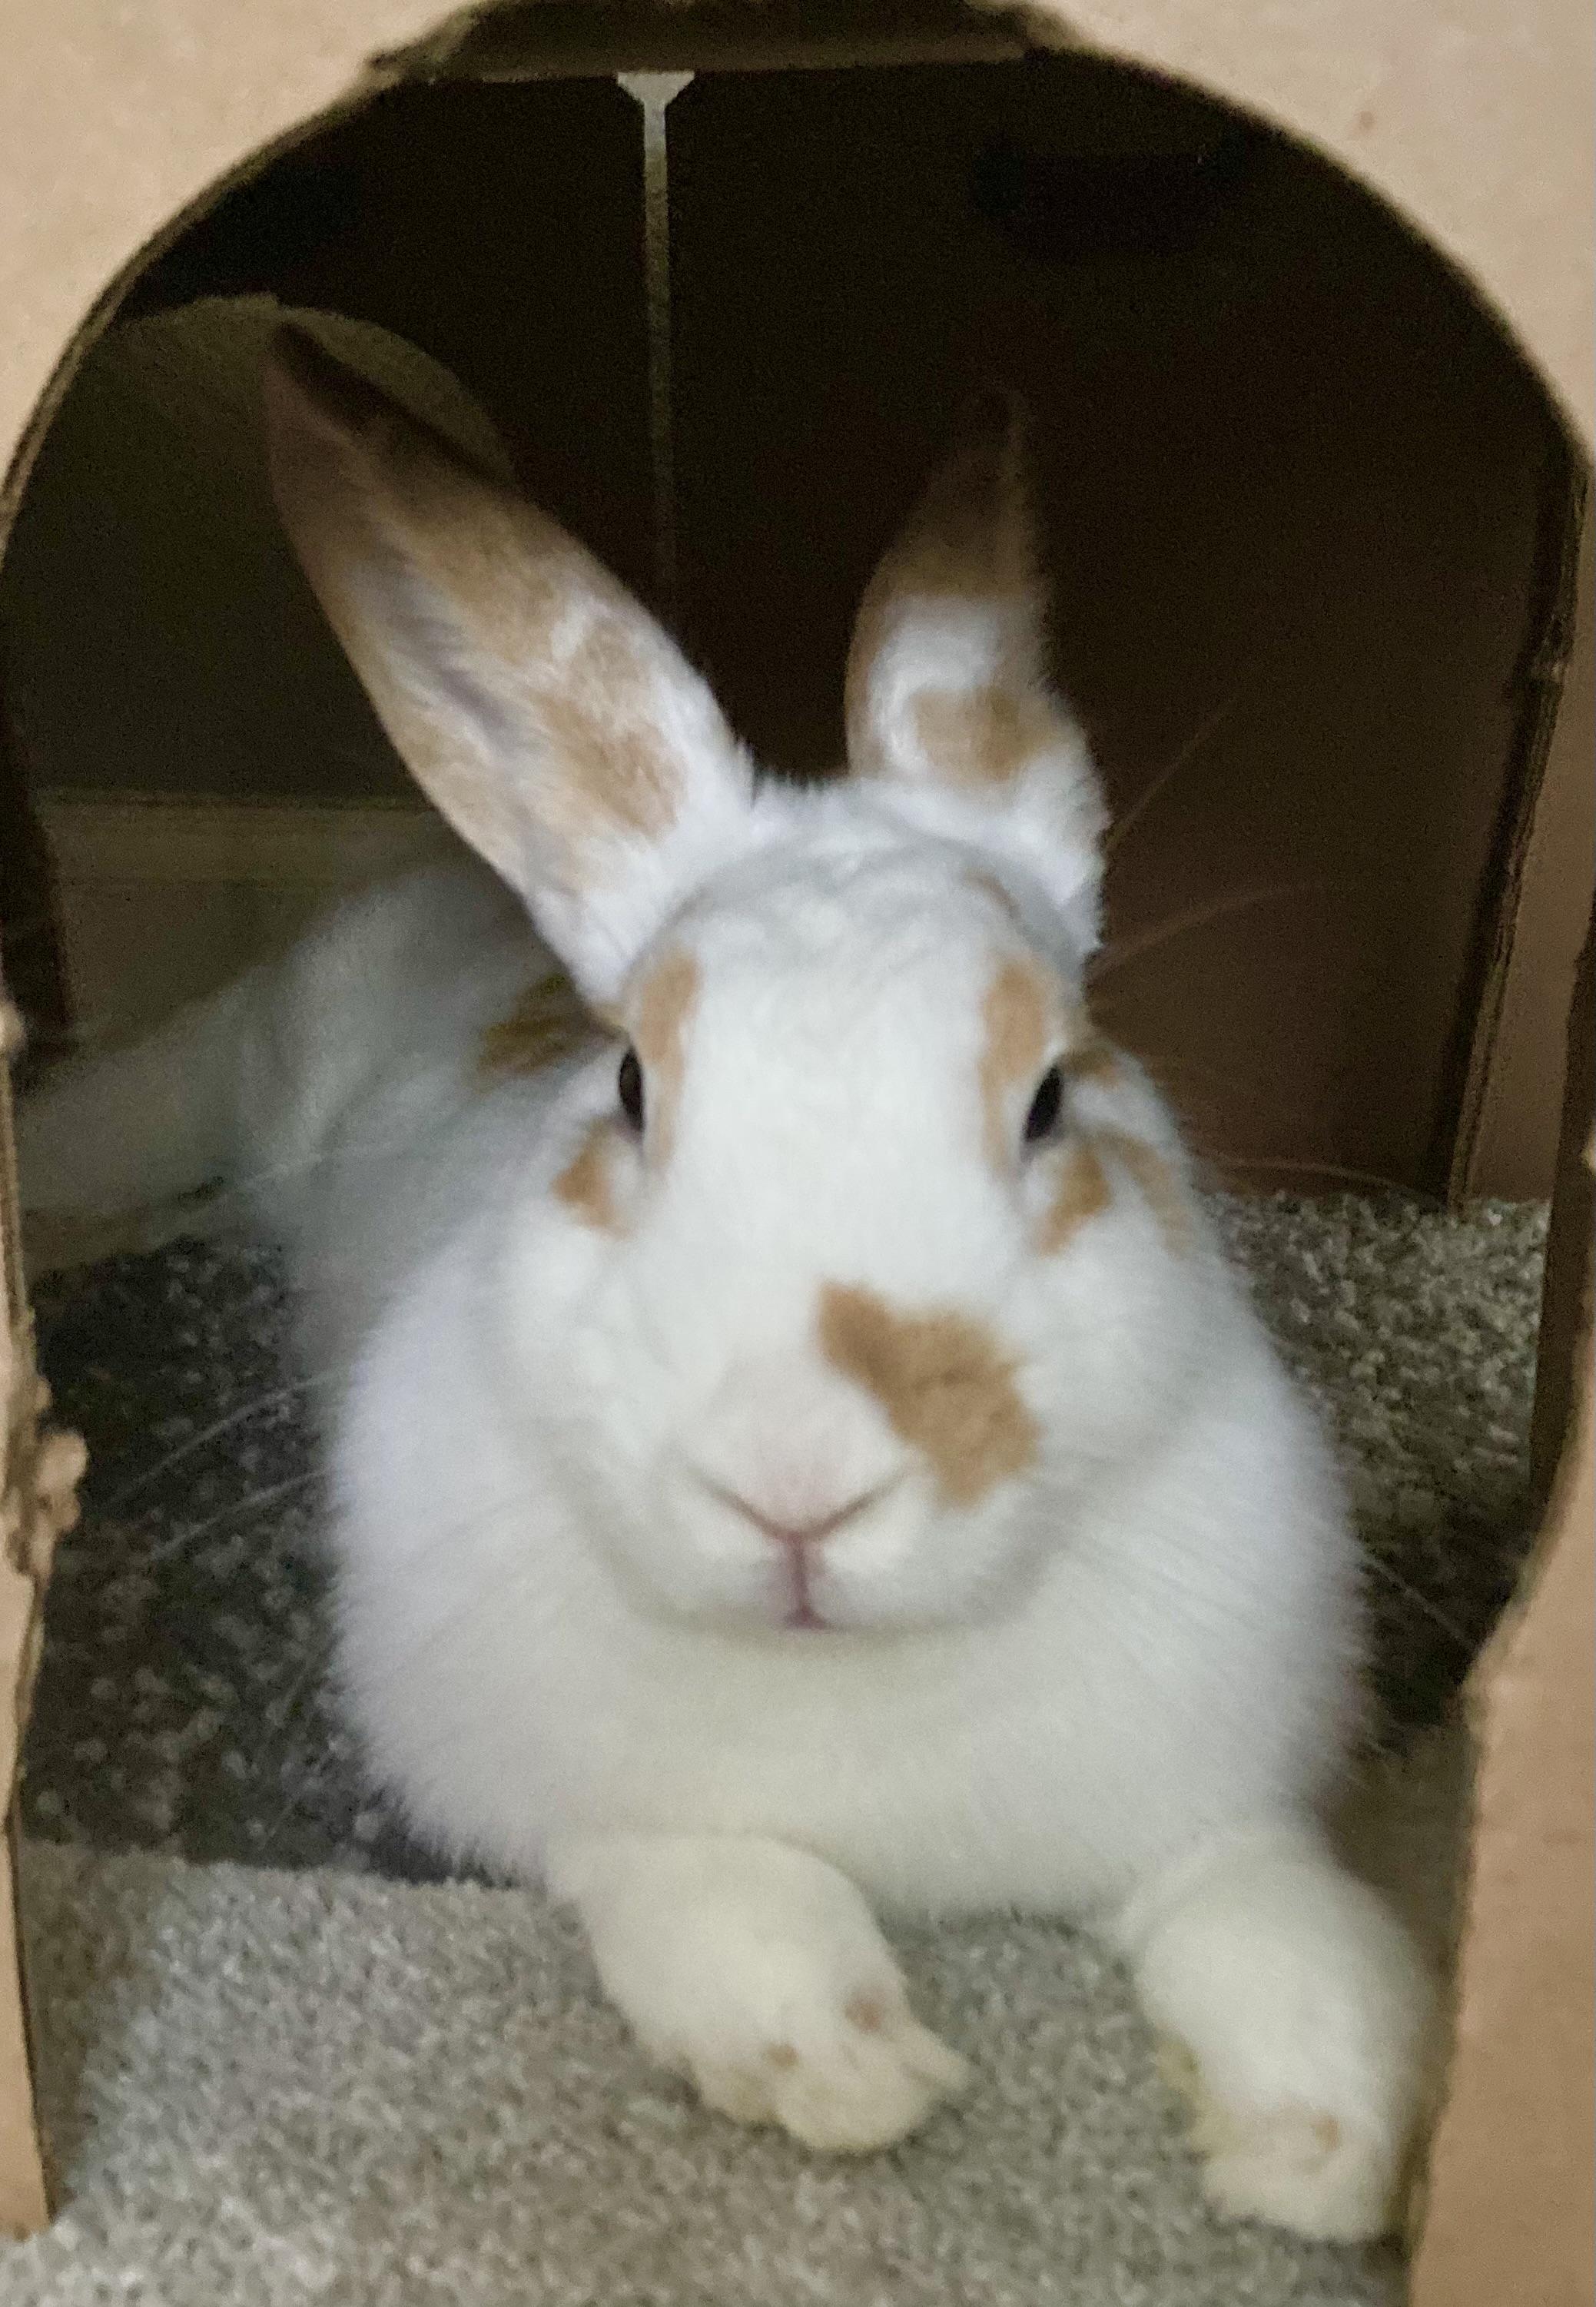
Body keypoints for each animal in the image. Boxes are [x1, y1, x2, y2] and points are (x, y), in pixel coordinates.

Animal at [16, 323, 1433, 2243]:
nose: (797, 1485)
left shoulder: (1224, 1806)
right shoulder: (603, 1813)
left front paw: (1322, 2158)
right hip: (229, 1081)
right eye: (628, 1086)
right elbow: (724, 1893)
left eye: (1051, 1098)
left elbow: (1291, 1931)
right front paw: (847, 2075)